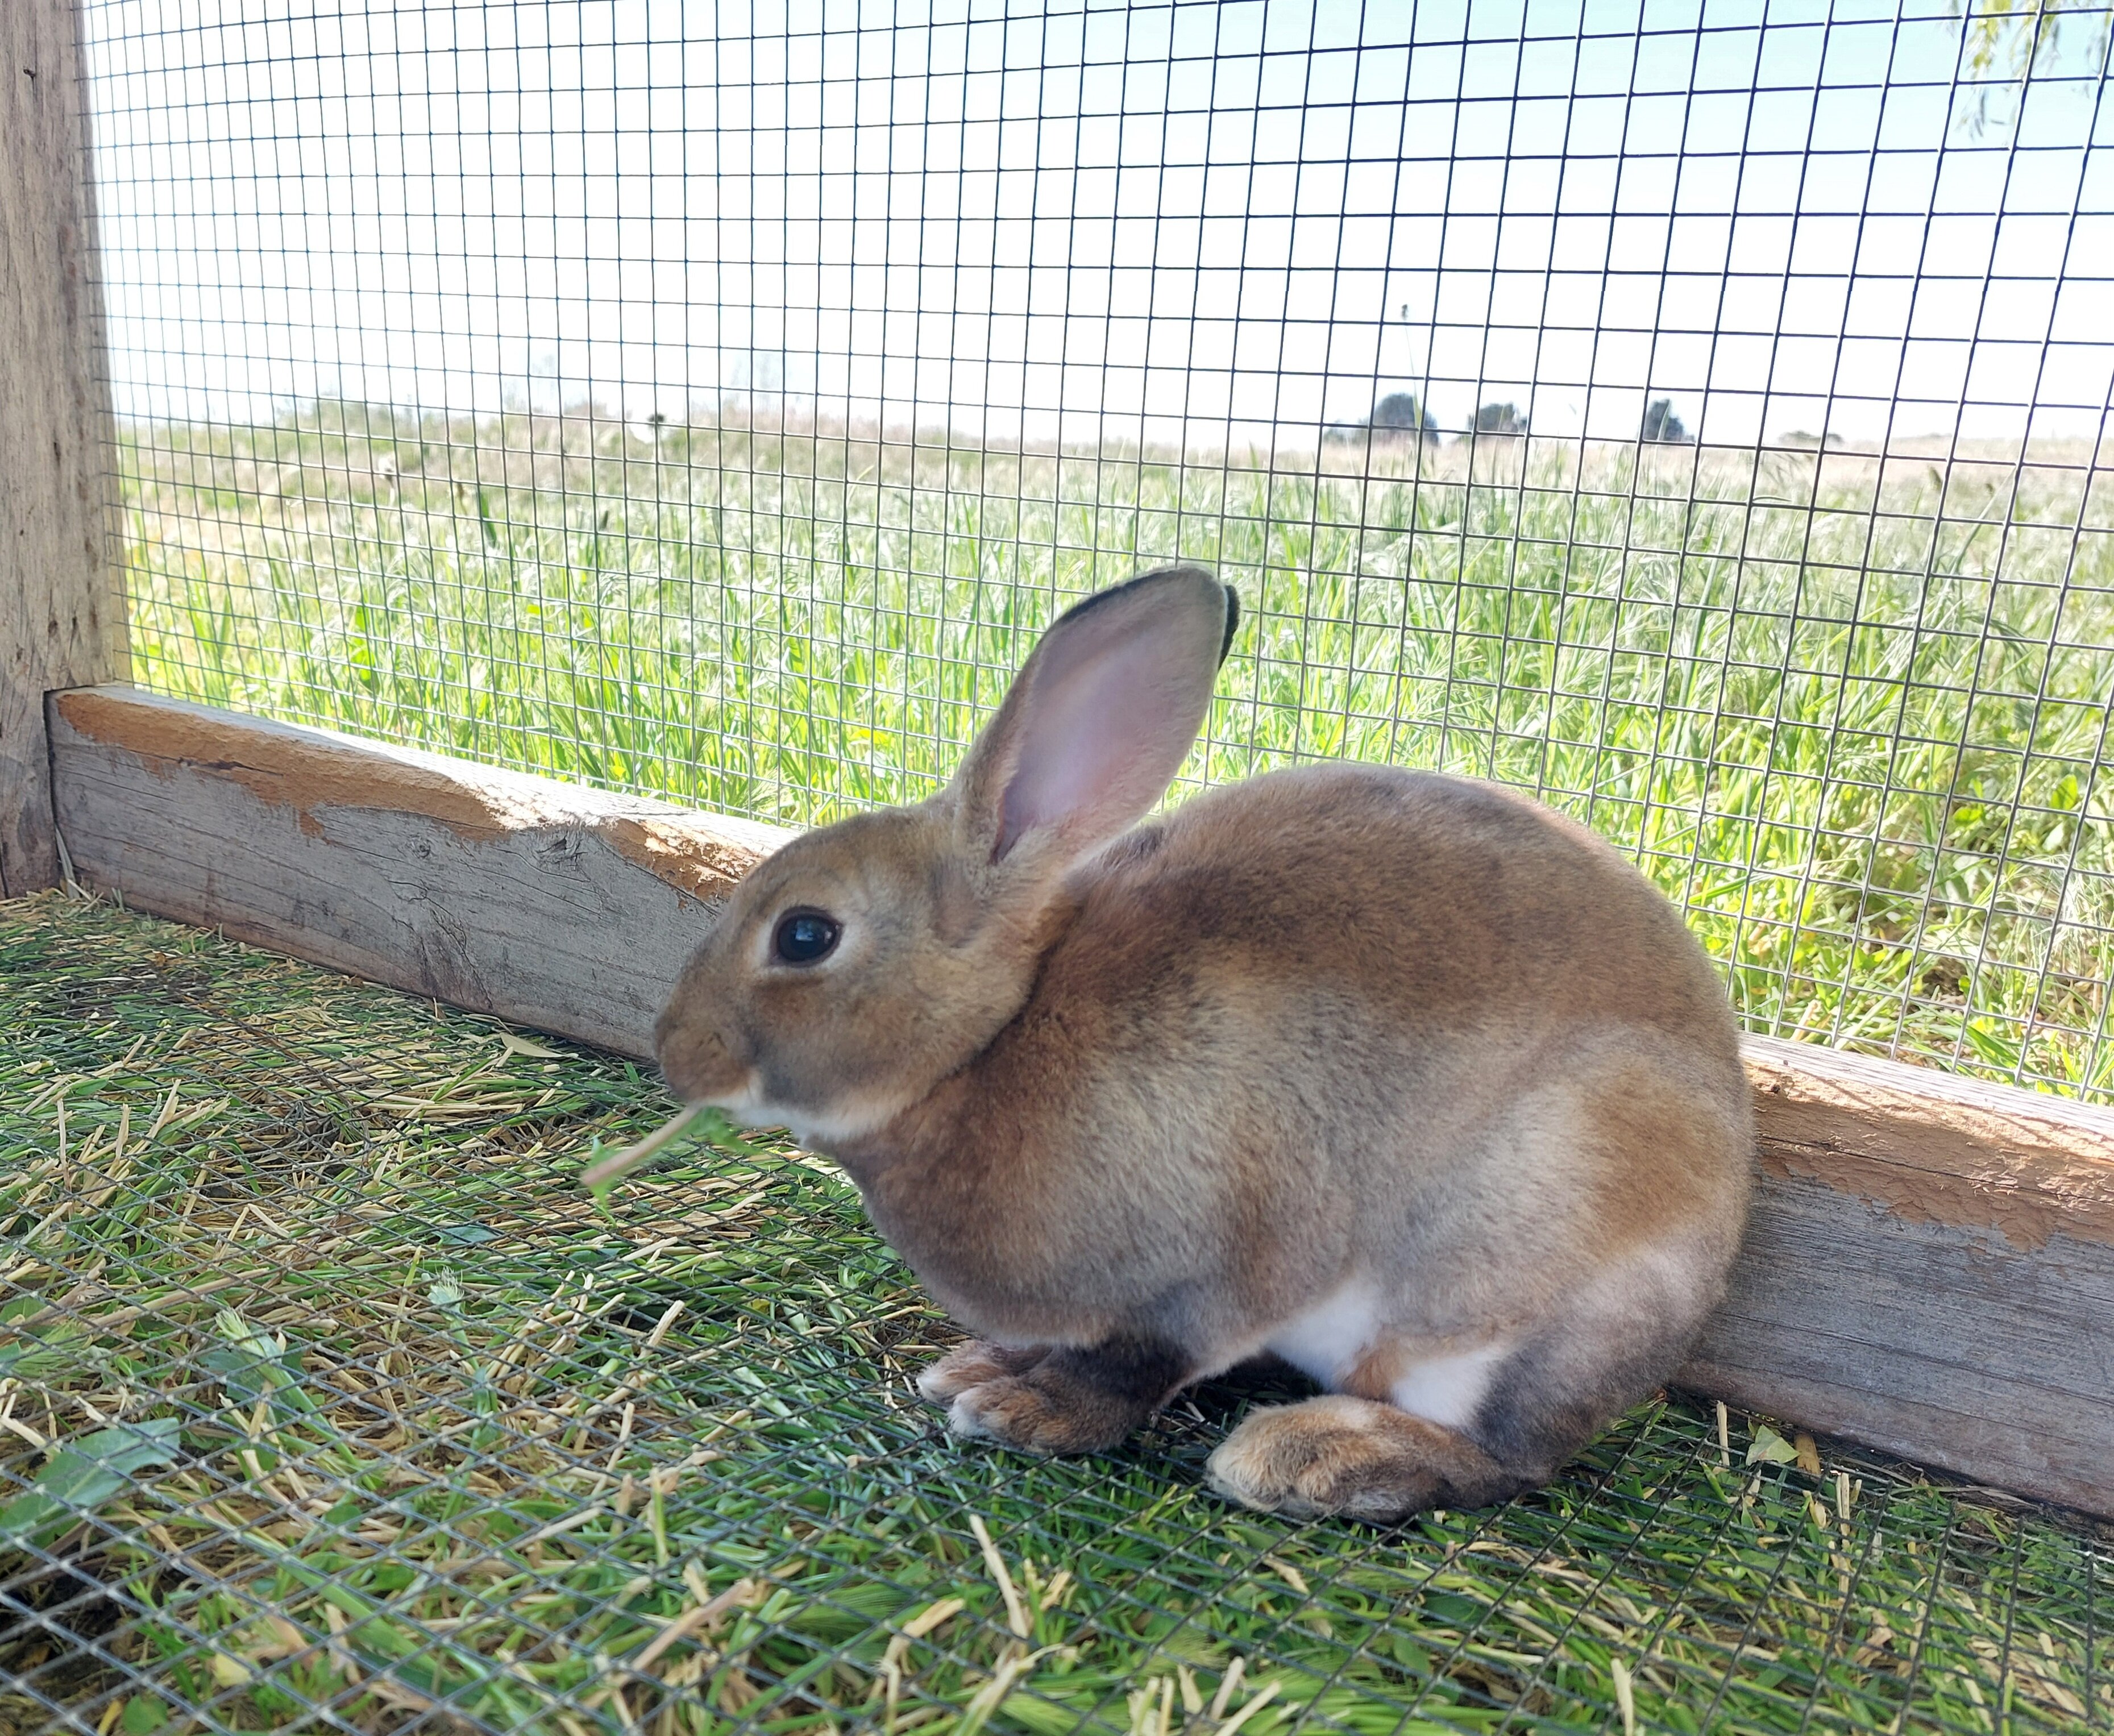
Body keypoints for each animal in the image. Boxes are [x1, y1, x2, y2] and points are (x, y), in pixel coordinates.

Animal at [656, 564, 1754, 1521]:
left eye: (805, 935)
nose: (673, 1051)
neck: (986, 1043)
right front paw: (983, 1368)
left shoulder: (1205, 1272)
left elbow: (1133, 1364)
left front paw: (1022, 1408)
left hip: (1516, 1282)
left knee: (1502, 1456)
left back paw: (1311, 1456)